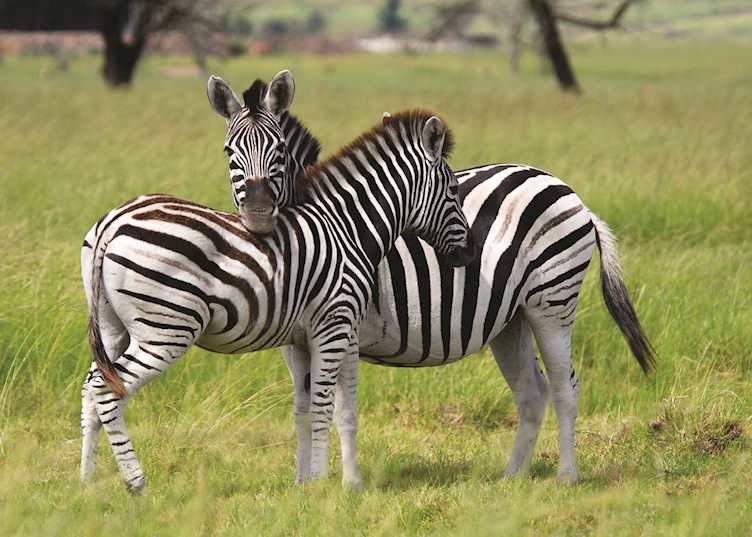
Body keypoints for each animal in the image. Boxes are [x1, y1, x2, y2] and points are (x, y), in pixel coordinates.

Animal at [79, 86, 477, 492]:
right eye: (453, 189)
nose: (471, 251)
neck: (347, 227)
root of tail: (114, 221)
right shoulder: (333, 326)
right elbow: (322, 405)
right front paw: (321, 483)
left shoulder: (311, 335)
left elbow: (312, 408)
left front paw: (310, 483)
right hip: (165, 329)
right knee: (108, 392)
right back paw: (136, 482)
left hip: (113, 327)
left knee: (92, 386)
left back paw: (87, 481)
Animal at [235, 103, 655, 485]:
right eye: (231, 155)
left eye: (279, 154)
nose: (257, 218)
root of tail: (567, 191)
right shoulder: (297, 340)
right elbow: (304, 408)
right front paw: (302, 484)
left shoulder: (342, 331)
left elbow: (338, 408)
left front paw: (340, 485)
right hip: (511, 320)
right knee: (532, 392)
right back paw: (512, 478)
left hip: (551, 302)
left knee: (564, 387)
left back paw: (566, 477)